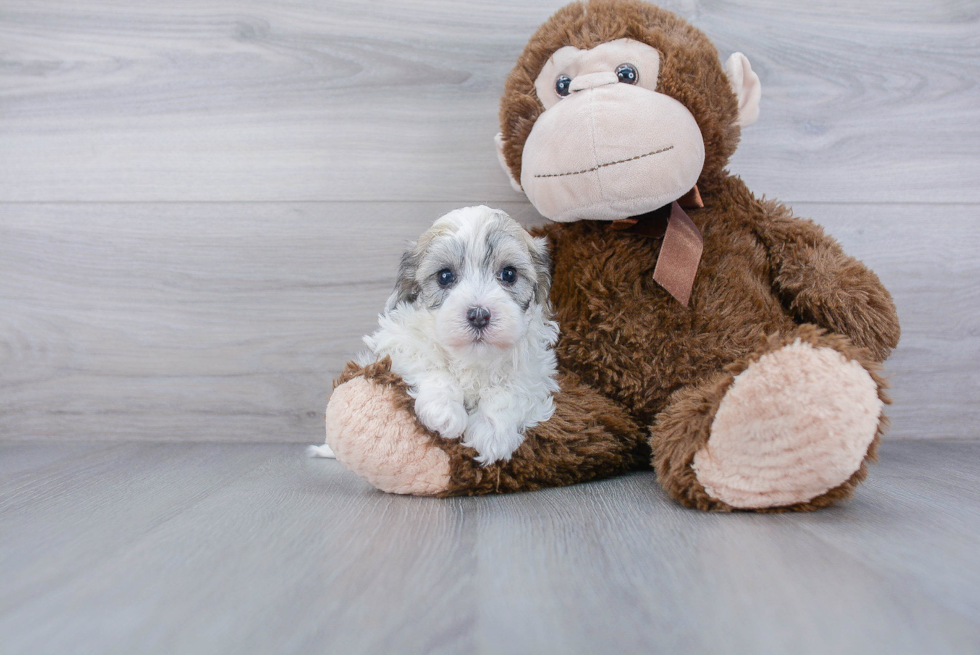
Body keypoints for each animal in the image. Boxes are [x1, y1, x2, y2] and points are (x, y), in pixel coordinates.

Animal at [352, 206, 560, 466]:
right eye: (445, 276)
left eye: (509, 274)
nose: (479, 315)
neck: (472, 358)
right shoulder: (398, 342)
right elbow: (429, 365)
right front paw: (444, 411)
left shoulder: (534, 370)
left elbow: (511, 391)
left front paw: (492, 432)